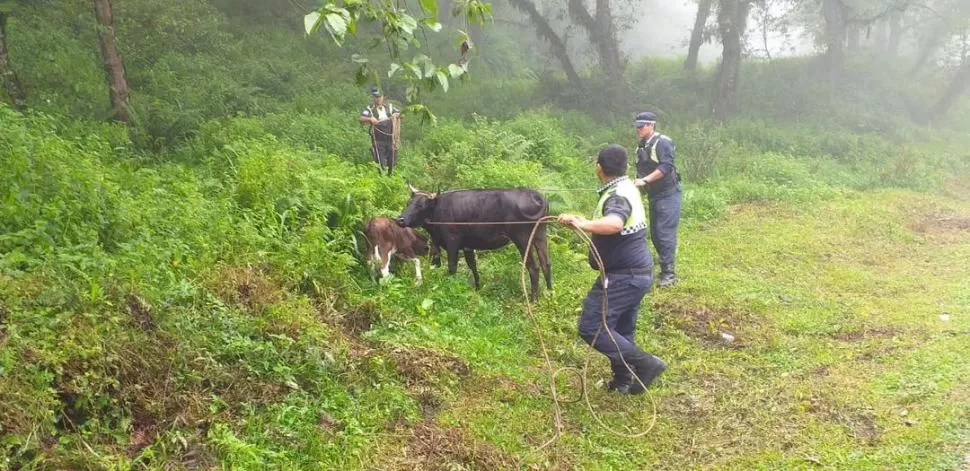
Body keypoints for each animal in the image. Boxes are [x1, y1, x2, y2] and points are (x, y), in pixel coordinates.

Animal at [396, 185, 552, 300]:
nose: (400, 220)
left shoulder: (452, 242)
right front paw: (477, 289)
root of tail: (534, 195)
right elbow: (473, 267)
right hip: (540, 236)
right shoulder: (468, 246)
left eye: (421, 206)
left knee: (533, 267)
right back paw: (550, 294)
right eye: (408, 203)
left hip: (523, 239)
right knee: (546, 264)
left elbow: (452, 267)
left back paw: (533, 299)